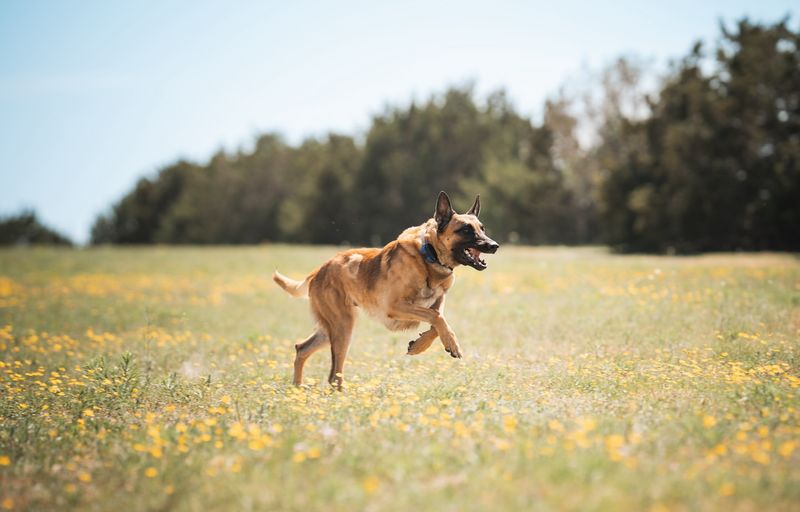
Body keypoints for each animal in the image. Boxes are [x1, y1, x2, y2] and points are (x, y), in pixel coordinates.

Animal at [276, 192, 500, 388]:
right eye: (465, 230)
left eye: (482, 228)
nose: (494, 245)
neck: (429, 255)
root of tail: (318, 270)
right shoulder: (394, 306)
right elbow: (437, 318)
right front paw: (452, 343)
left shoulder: (436, 303)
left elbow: (436, 324)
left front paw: (420, 346)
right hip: (343, 326)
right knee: (333, 375)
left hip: (331, 327)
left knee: (301, 349)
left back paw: (297, 388)